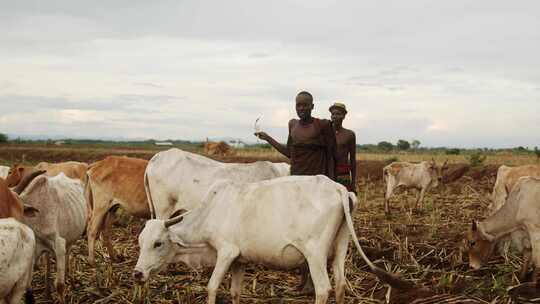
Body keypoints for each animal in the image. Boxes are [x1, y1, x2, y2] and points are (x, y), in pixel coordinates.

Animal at [135, 175, 410, 304]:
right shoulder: (239, 260)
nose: (137, 274)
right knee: (341, 285)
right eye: (140, 242)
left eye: (158, 243)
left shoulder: (226, 253)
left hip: (315, 255)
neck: (213, 209)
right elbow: (235, 292)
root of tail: (338, 188)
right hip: (341, 247)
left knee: (323, 289)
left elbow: (211, 288)